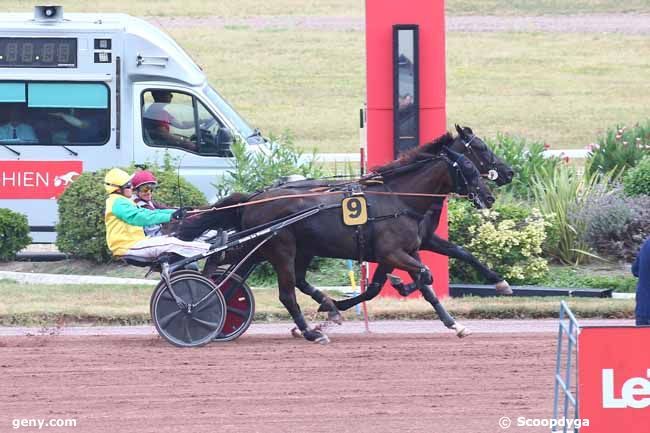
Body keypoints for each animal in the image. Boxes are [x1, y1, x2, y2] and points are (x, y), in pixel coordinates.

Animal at [175, 132, 494, 340]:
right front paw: (399, 287)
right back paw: (309, 331)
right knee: (284, 292)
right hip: (279, 248)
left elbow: (420, 285)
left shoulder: (406, 251)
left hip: (275, 247)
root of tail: (255, 197)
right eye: (471, 162)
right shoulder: (392, 252)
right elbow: (423, 276)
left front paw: (454, 323)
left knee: (230, 265)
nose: (490, 195)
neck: (398, 198)